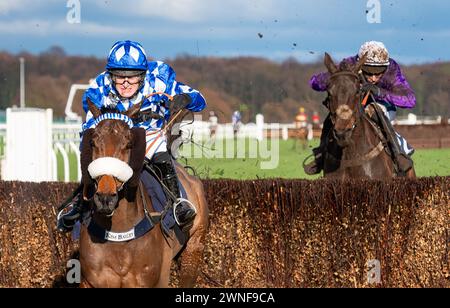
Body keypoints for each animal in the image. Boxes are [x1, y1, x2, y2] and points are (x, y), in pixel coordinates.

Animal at [78, 100, 209, 288]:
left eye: (129, 144)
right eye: (92, 143)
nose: (105, 198)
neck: (120, 233)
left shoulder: (157, 279)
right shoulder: (91, 281)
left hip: (194, 248)